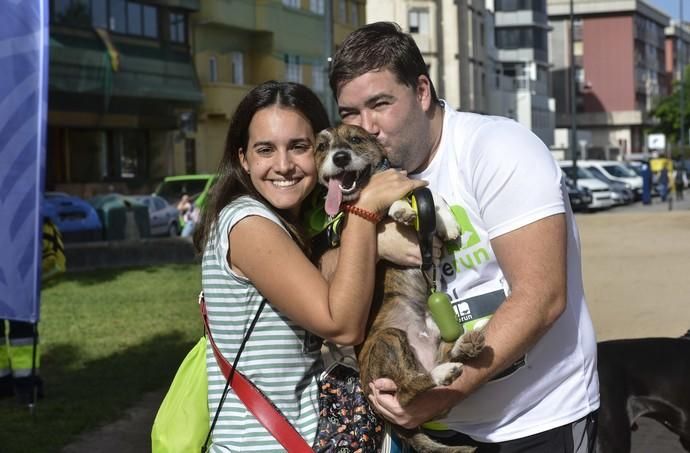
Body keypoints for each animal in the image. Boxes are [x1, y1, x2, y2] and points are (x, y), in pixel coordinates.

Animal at [314, 123, 484, 452]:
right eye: (321, 147)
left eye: (355, 139)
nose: (340, 158)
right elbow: (394, 206)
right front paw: (401, 210)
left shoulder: (417, 187)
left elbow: (433, 195)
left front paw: (447, 223)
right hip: (390, 338)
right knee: (409, 391)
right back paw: (442, 373)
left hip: (439, 328)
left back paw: (464, 347)